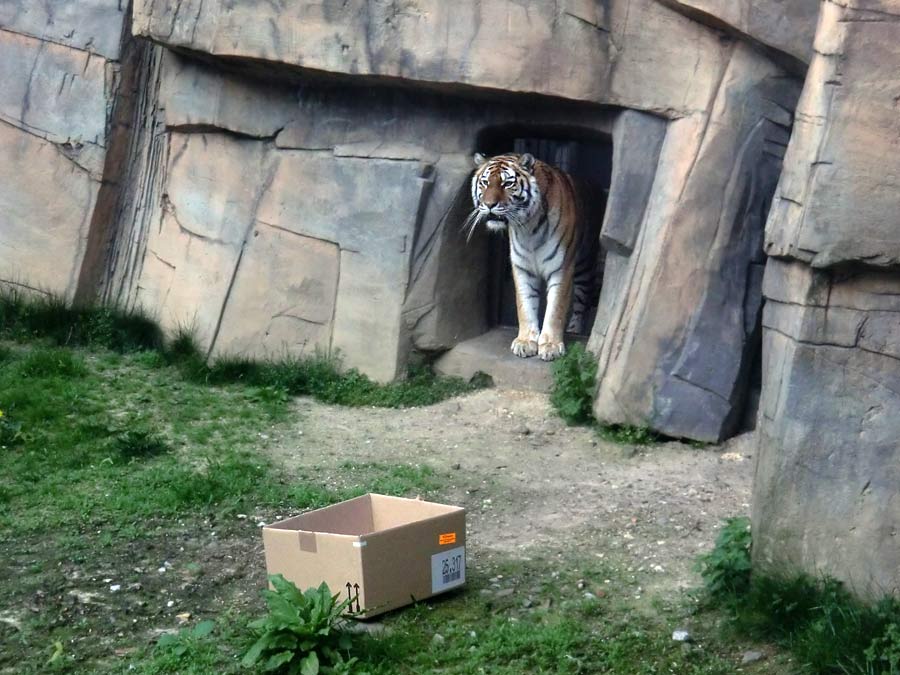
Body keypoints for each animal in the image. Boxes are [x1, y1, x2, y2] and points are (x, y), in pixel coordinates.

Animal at [464, 152, 596, 362]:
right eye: (485, 183)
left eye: (507, 183)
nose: (489, 205)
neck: (528, 227)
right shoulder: (522, 268)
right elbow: (525, 306)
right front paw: (526, 342)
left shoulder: (562, 268)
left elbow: (556, 309)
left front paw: (551, 345)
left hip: (584, 265)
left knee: (581, 303)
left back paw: (575, 330)